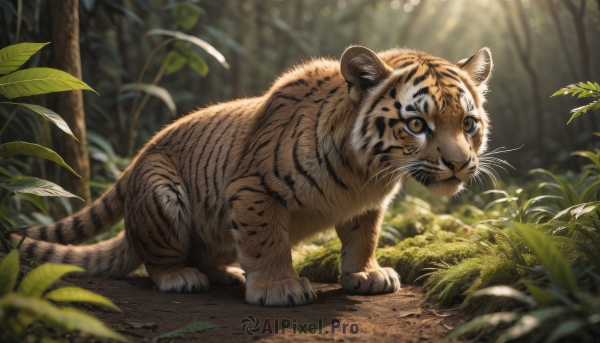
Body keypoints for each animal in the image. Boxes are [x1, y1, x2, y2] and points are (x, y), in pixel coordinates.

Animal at [10, 45, 492, 310]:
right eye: (417, 124)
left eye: (468, 123)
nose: (458, 163)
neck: (368, 173)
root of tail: (135, 163)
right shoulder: (253, 188)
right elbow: (267, 240)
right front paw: (279, 288)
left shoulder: (368, 206)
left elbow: (364, 238)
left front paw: (367, 275)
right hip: (160, 190)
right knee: (157, 259)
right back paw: (182, 277)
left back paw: (225, 273)